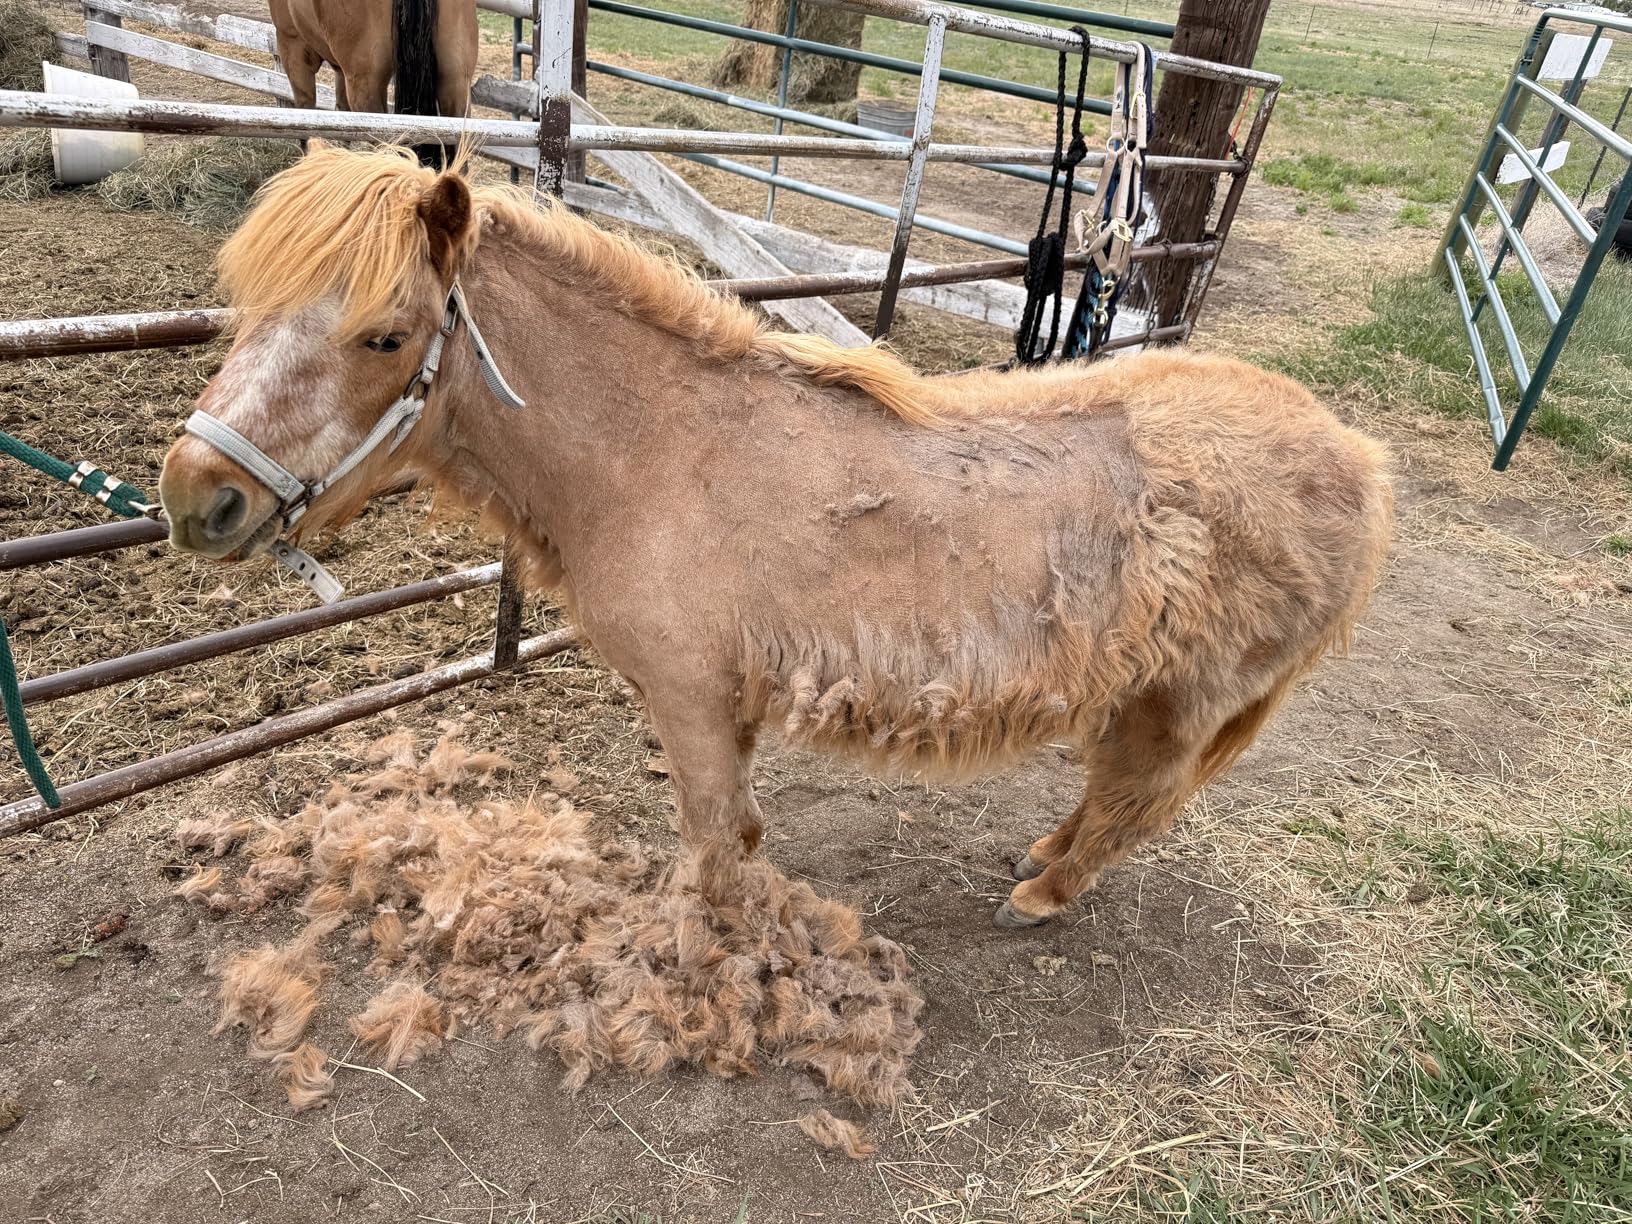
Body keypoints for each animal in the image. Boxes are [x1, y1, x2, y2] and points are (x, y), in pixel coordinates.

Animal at [157, 145, 1393, 929]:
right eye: (250, 308)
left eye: (385, 335)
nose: (193, 497)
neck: (659, 451)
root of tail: (1357, 463)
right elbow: (733, 825)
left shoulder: (690, 697)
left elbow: (710, 836)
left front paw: (694, 942)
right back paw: (1045, 856)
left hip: (1178, 708)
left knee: (1138, 804)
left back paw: (1044, 893)